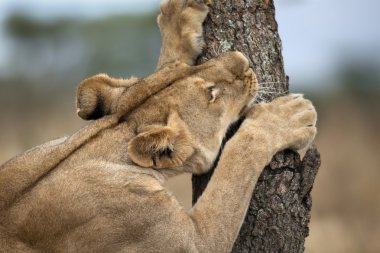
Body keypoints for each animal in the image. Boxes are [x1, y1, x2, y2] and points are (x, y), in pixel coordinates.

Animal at [0, 0, 318, 252]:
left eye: (189, 68)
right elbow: (235, 166)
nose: (242, 58)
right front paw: (285, 117)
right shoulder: (190, 242)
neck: (112, 138)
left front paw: (179, 16)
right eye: (211, 94)